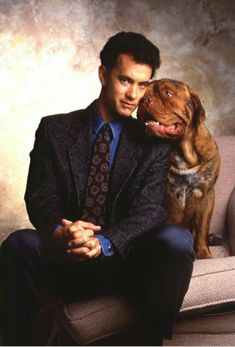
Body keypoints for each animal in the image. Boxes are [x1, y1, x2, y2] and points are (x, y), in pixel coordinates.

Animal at [138, 79, 220, 258]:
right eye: (143, 93)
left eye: (168, 93)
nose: (144, 100)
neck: (181, 152)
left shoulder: (207, 193)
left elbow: (203, 226)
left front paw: (203, 252)